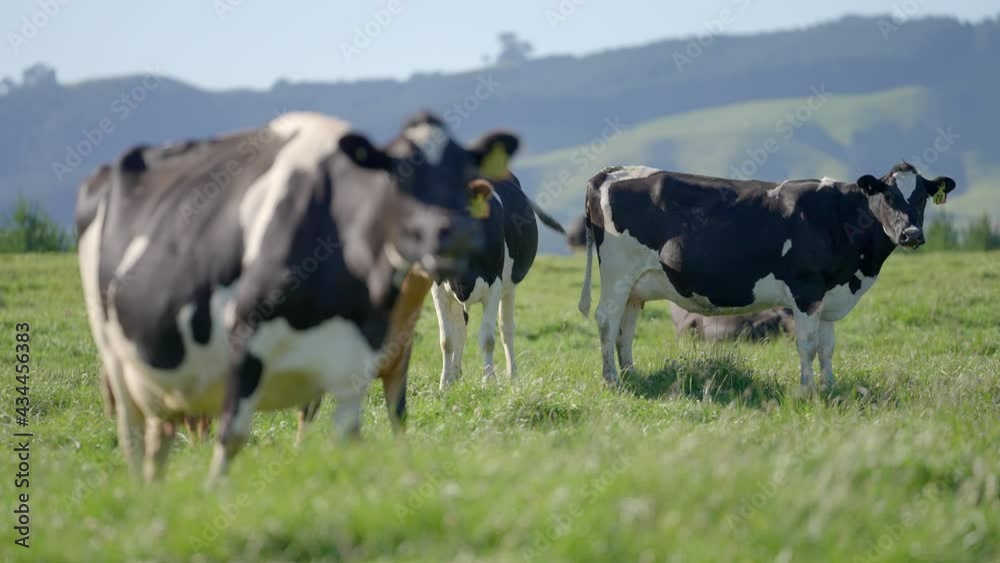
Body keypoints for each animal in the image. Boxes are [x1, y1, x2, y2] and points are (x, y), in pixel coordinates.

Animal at [76, 111, 520, 483]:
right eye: (398, 178)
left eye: (464, 178)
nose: (450, 233)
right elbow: (244, 433)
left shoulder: (373, 360)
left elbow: (386, 422)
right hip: (117, 358)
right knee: (135, 437)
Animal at [430, 174, 566, 388]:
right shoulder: (438, 289)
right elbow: (447, 339)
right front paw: (445, 383)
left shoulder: (494, 287)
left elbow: (487, 338)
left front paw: (489, 380)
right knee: (461, 329)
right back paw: (456, 374)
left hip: (509, 288)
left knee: (506, 329)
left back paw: (513, 374)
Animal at [578, 162, 956, 387]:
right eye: (889, 195)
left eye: (921, 197)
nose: (911, 234)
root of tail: (609, 172)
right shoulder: (806, 289)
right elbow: (807, 345)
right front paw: (808, 391)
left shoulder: (831, 295)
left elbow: (828, 347)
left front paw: (830, 387)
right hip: (617, 273)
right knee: (606, 320)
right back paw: (611, 381)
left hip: (635, 286)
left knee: (625, 330)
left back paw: (631, 376)